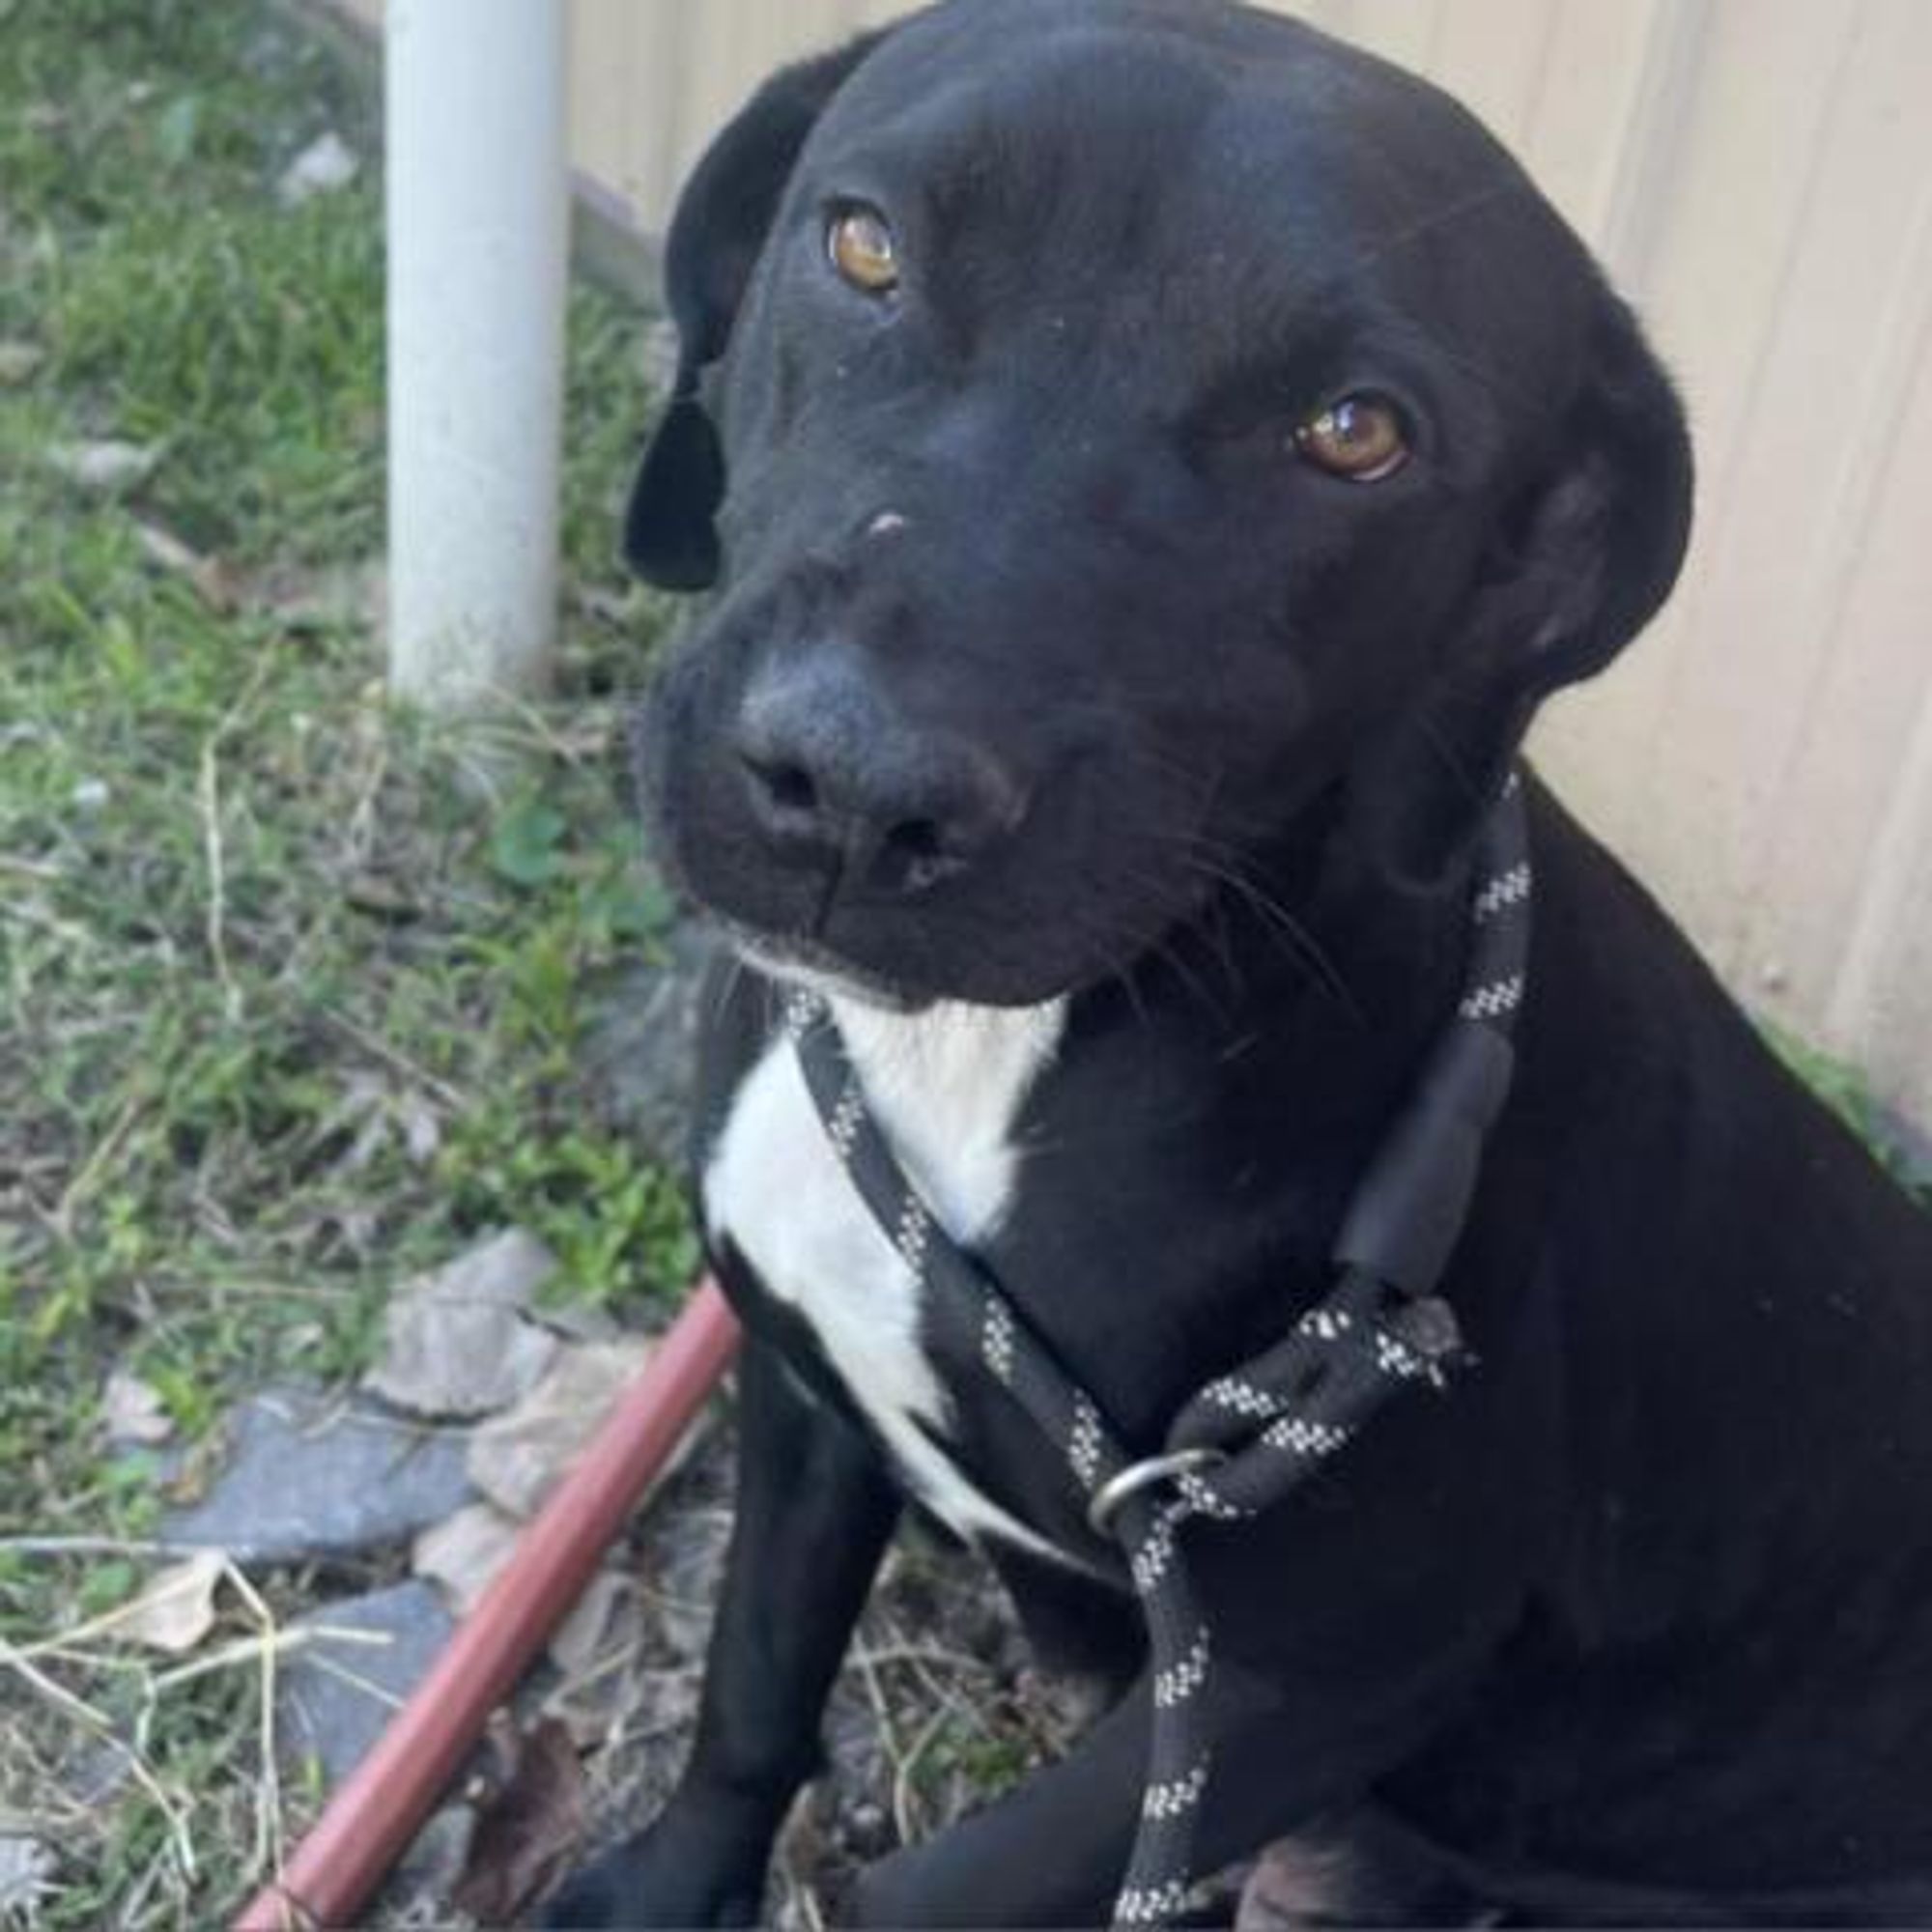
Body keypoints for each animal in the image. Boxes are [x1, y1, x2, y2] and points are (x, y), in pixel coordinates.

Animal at [553, 7, 1932, 1924]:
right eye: (865, 246)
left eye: (1357, 434)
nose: (851, 793)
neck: (997, 1066)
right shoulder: (809, 1391)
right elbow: (751, 1682)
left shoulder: (1302, 1683)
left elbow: (931, 1892)